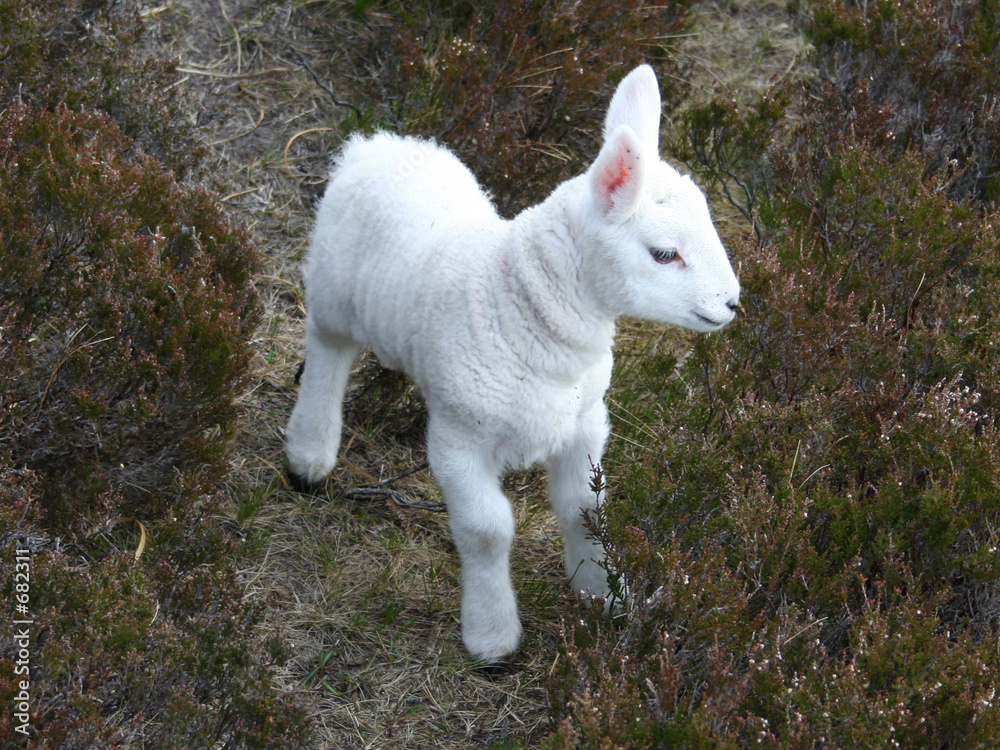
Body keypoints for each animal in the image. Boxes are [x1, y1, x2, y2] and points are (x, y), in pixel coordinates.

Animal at [285, 64, 741, 664]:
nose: (733, 303)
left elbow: (584, 509)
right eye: (664, 253)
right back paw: (309, 455)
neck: (518, 303)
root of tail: (377, 144)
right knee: (326, 352)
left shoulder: (585, 422)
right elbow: (487, 531)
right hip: (333, 289)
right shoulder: (457, 439)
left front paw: (604, 595)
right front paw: (492, 637)